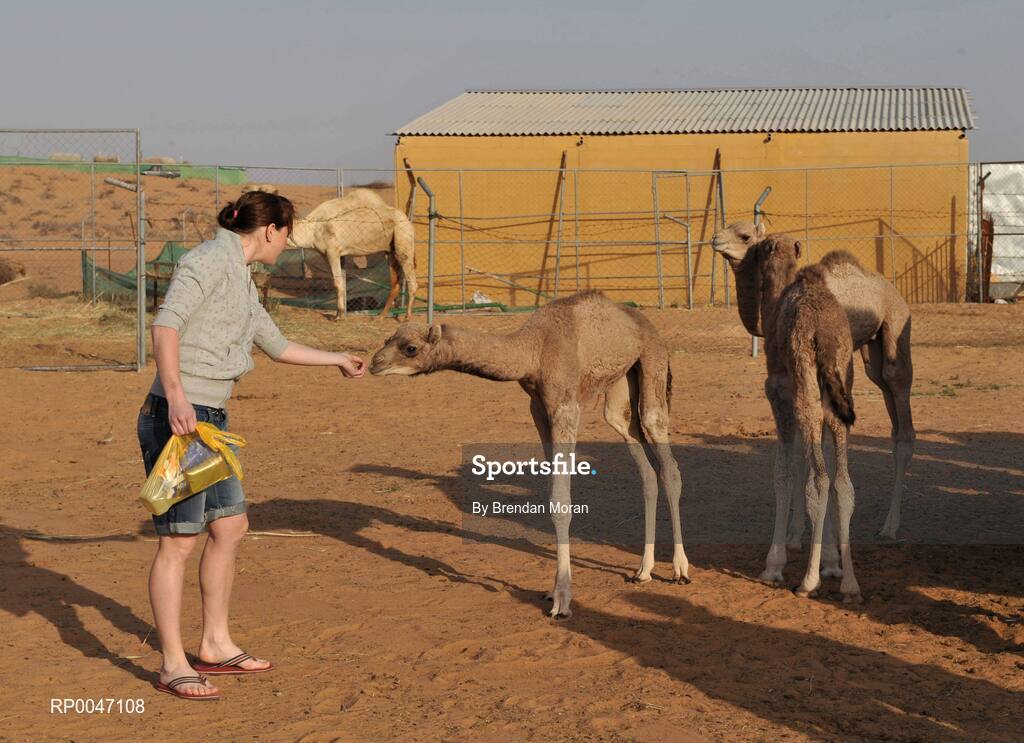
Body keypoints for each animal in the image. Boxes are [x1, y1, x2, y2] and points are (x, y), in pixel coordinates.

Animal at [288, 189, 418, 320]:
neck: (312, 229)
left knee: (411, 279)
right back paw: (380, 316)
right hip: (389, 251)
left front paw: (339, 316)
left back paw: (407, 317)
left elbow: (337, 283)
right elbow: (341, 283)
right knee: (394, 284)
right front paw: (339, 314)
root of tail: (407, 220)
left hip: (403, 236)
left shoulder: (332, 252)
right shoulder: (330, 255)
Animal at [369, 290, 689, 618]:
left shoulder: (565, 405)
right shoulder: (537, 407)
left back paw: (680, 570)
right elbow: (552, 491)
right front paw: (552, 591)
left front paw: (562, 599)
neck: (533, 349)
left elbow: (561, 501)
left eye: (410, 348)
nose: (374, 363)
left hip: (652, 362)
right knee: (641, 459)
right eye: (389, 338)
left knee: (666, 457)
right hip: (621, 384)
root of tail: (645, 323)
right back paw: (643, 571)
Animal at [713, 222, 914, 544]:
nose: (715, 239)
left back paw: (890, 527)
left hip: (896, 327)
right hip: (871, 353)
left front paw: (805, 535)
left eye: (744, 236)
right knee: (889, 410)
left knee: (902, 410)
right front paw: (799, 533)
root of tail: (894, 291)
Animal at [767, 247, 862, 603]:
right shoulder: (824, 409)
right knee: (844, 483)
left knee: (820, 481)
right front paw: (832, 562)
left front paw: (774, 565)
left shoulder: (778, 393)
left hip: (804, 393)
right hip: (837, 396)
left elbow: (784, 473)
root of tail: (824, 334)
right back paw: (850, 585)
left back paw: (808, 582)